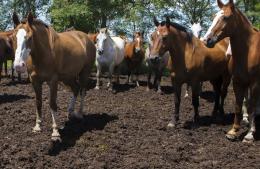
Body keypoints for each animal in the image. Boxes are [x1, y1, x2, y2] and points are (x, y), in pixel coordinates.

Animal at [11, 12, 96, 141]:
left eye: (30, 37)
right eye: (13, 37)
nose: (18, 65)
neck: (43, 54)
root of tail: (87, 38)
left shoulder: (53, 81)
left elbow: (52, 103)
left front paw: (55, 131)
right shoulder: (35, 81)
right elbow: (38, 102)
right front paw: (37, 126)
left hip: (84, 73)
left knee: (82, 91)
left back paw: (79, 114)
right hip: (68, 77)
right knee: (75, 89)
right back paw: (70, 112)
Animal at [203, 0, 260, 143]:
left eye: (226, 17)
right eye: (213, 16)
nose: (207, 40)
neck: (249, 51)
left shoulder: (255, 83)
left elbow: (251, 106)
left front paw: (250, 134)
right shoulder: (238, 82)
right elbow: (239, 105)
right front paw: (234, 131)